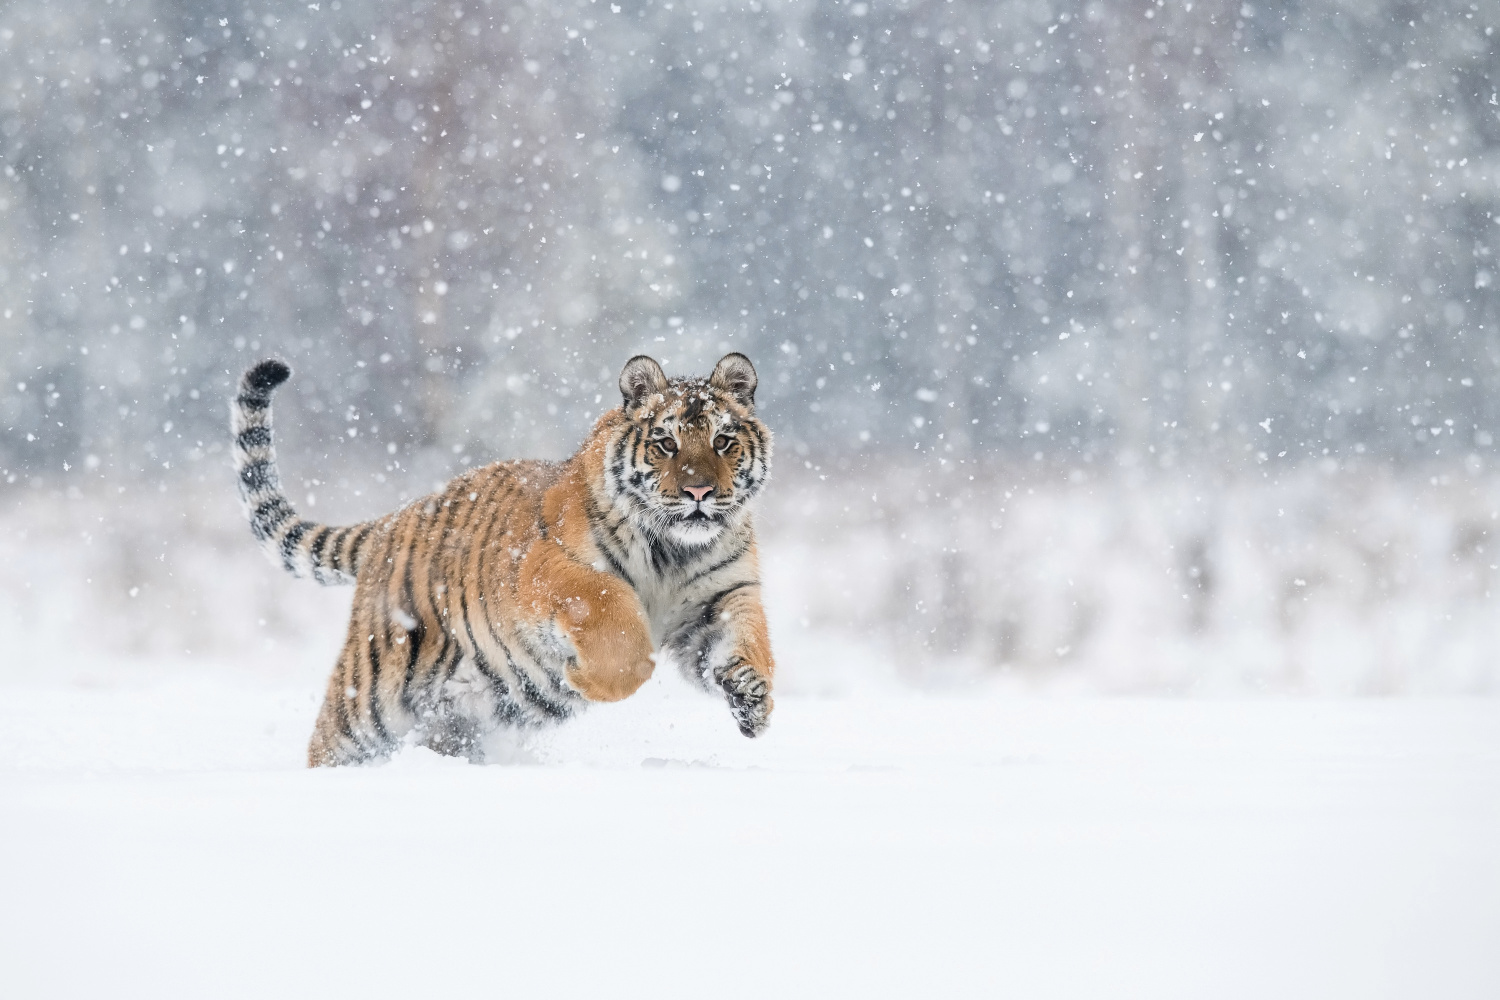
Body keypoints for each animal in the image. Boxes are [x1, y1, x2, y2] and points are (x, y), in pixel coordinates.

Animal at [234, 355, 780, 773]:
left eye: (722, 441)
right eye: (667, 443)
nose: (699, 492)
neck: (675, 551)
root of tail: (395, 519)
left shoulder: (720, 598)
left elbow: (746, 642)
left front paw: (753, 698)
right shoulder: (548, 569)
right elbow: (620, 628)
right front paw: (584, 678)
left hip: (454, 719)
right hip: (371, 696)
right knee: (329, 743)